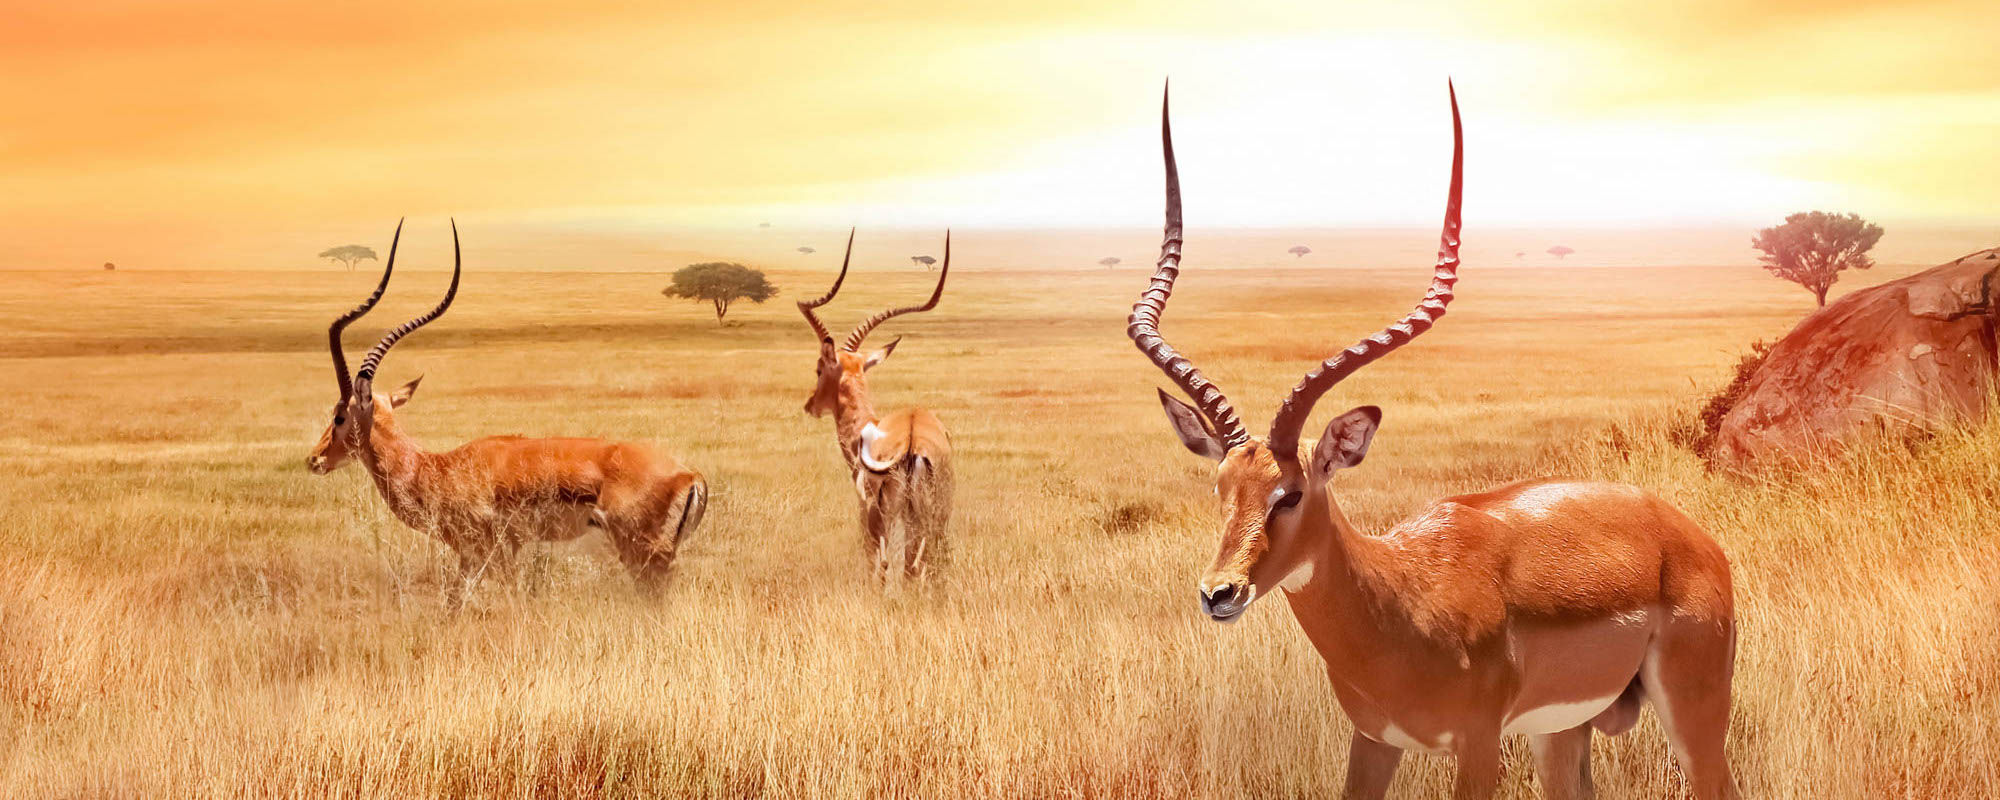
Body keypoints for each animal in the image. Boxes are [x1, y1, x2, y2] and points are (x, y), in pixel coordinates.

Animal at [309, 221, 708, 606]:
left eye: (339, 415)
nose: (315, 459)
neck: (439, 470)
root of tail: (690, 475)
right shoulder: (472, 557)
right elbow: (454, 603)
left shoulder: (494, 553)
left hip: (642, 557)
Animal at [797, 231, 955, 583]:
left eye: (818, 369)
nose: (810, 405)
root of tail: (912, 440)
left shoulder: (866, 512)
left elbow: (875, 563)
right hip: (936, 515)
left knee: (905, 566)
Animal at [1131, 87, 1738, 799]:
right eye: (1221, 487)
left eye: (1292, 493)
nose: (1219, 594)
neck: (1401, 600)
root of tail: (1689, 534)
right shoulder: (1374, 739)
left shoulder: (1477, 744)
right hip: (1560, 732)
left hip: (1693, 713)